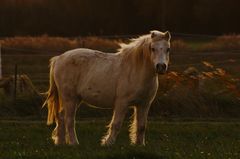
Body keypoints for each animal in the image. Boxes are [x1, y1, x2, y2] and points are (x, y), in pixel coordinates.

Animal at [42, 30, 171, 146]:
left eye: (168, 49)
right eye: (152, 48)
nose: (161, 66)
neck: (135, 70)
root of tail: (59, 58)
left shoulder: (144, 104)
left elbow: (141, 126)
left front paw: (139, 145)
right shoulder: (122, 103)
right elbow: (116, 124)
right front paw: (108, 143)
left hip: (75, 99)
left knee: (61, 117)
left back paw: (61, 142)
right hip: (70, 99)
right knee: (69, 120)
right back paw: (74, 143)